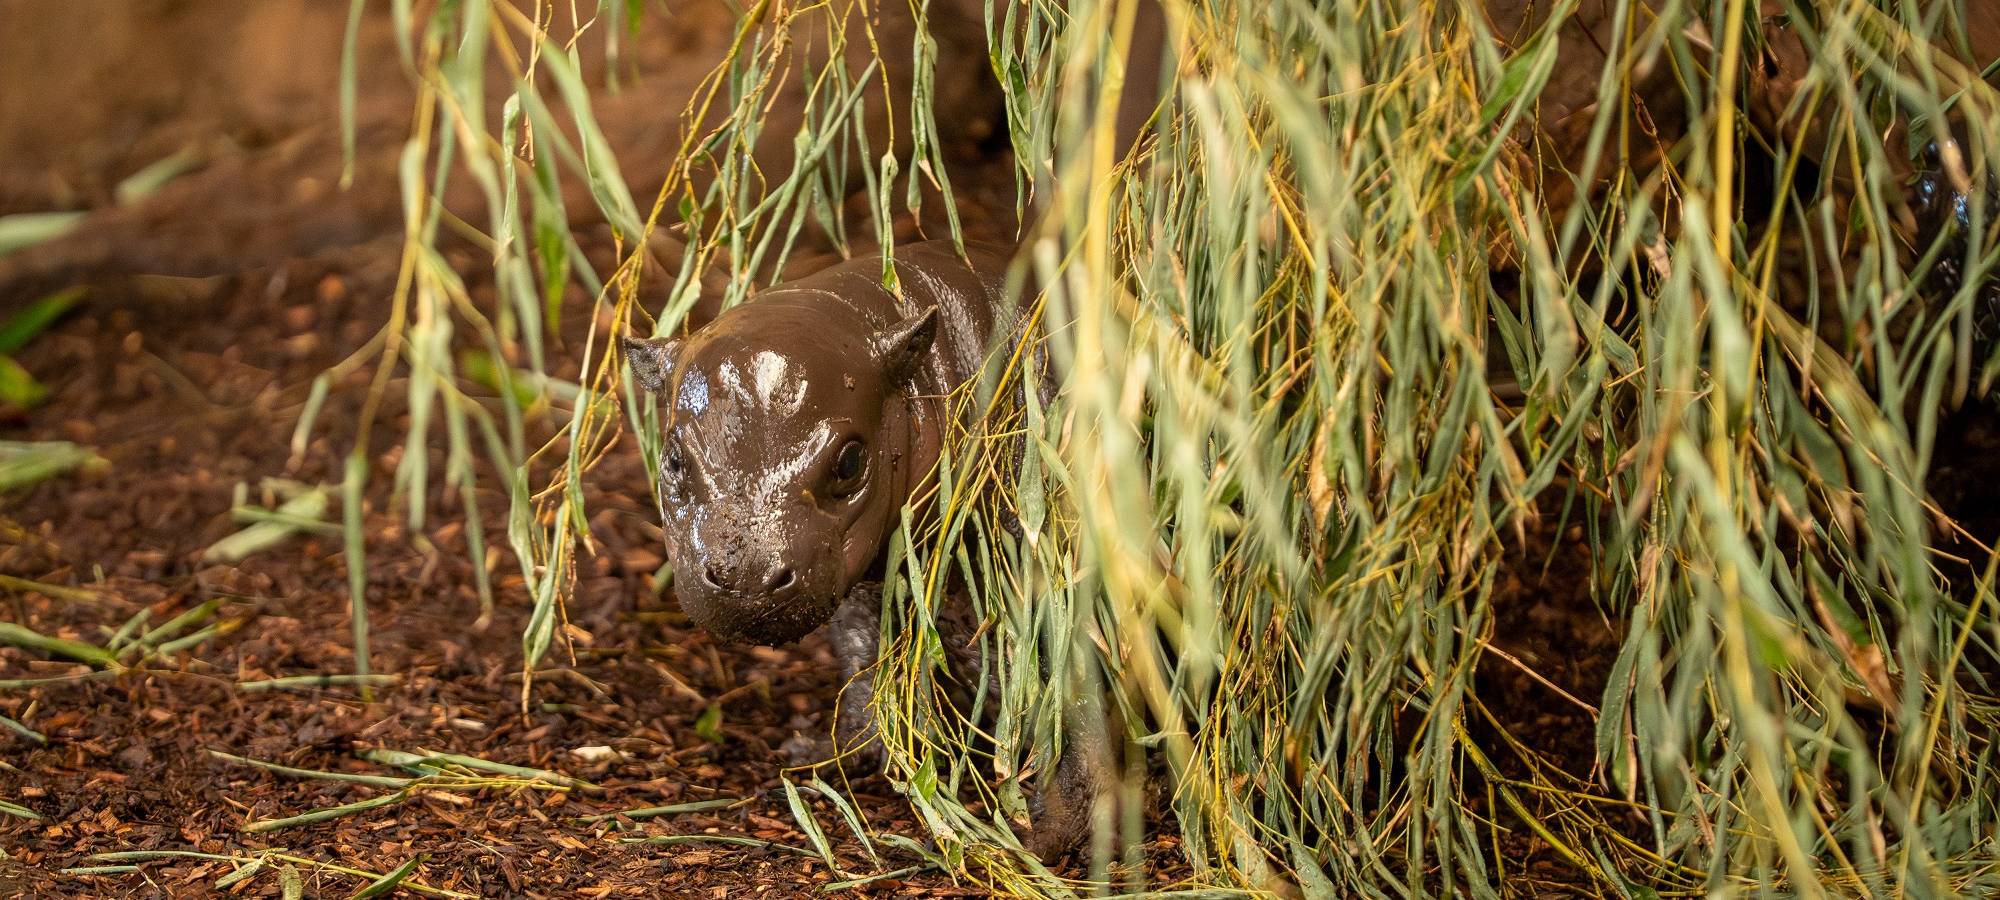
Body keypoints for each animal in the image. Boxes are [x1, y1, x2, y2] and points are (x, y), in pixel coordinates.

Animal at [621, 239, 1109, 857]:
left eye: (851, 460)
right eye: (674, 458)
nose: (747, 575)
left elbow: (1072, 697)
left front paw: (1040, 837)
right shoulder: (869, 584)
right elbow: (864, 661)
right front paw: (821, 758)